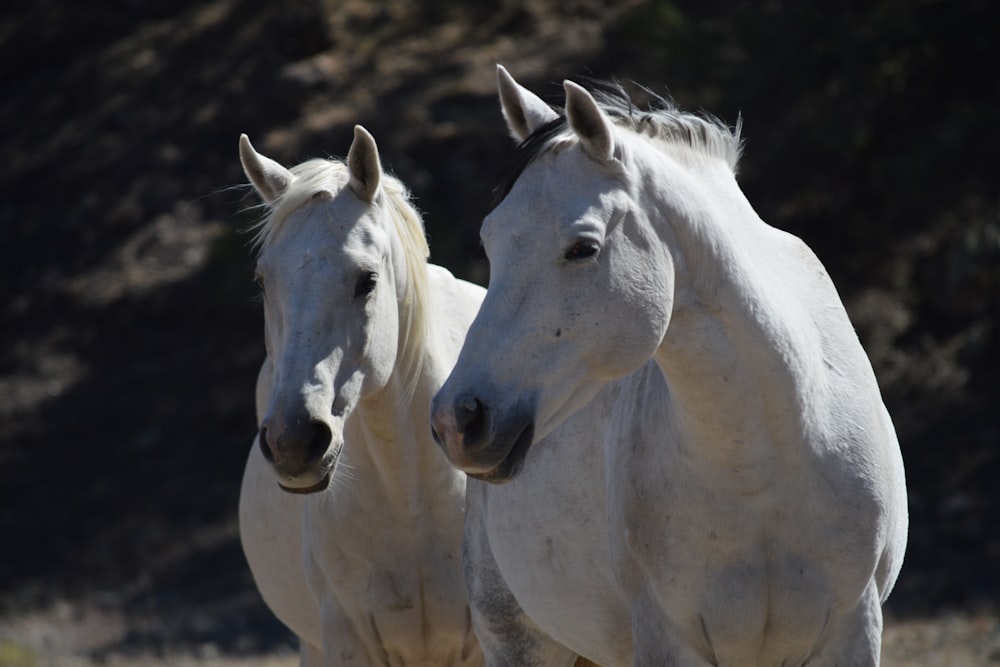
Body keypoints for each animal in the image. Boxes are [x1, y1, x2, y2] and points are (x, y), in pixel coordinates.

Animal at [430, 68, 908, 667]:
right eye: (490, 241)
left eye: (583, 248)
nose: (458, 420)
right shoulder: (667, 637)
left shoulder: (853, 628)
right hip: (517, 641)